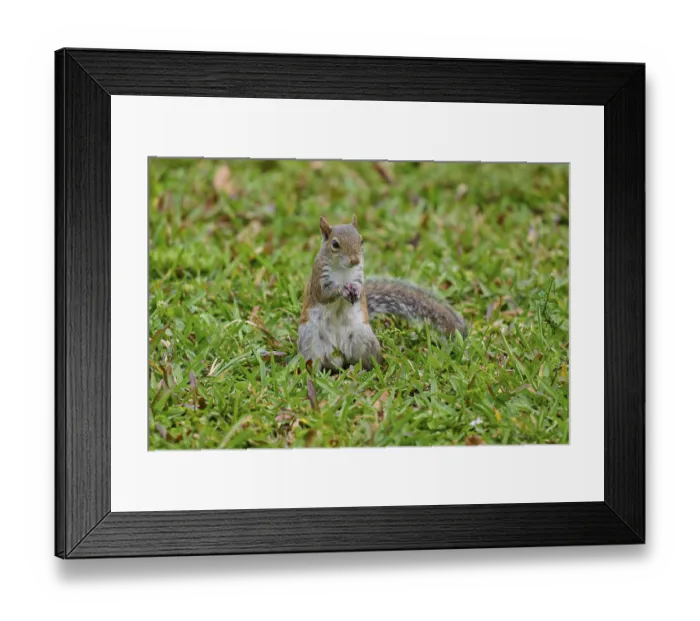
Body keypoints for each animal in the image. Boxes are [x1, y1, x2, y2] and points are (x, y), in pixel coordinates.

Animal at [297, 215, 466, 371]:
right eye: (335, 244)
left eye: (361, 240)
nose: (355, 260)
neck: (343, 271)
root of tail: (338, 355)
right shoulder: (318, 278)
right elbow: (323, 294)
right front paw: (342, 289)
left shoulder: (358, 275)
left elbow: (360, 289)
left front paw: (356, 290)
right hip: (310, 341)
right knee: (314, 363)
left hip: (364, 340)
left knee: (365, 363)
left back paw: (359, 371)